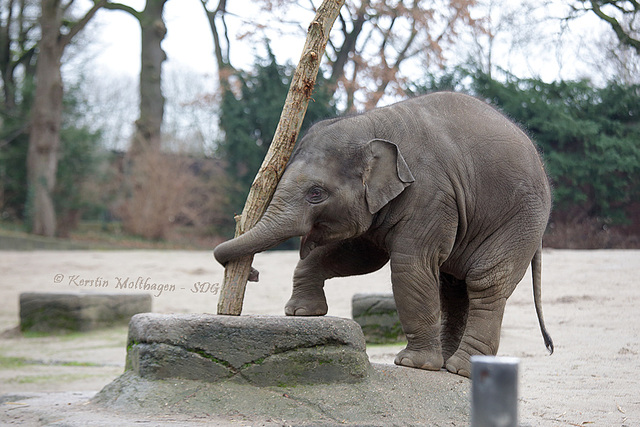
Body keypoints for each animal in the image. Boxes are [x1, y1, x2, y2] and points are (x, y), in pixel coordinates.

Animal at [212, 91, 552, 378]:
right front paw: (300, 313)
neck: (371, 124)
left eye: (316, 193)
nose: (252, 272)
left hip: (519, 221)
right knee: (454, 288)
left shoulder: (430, 194)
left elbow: (409, 265)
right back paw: (446, 364)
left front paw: (412, 364)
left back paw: (459, 370)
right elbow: (360, 256)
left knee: (485, 283)